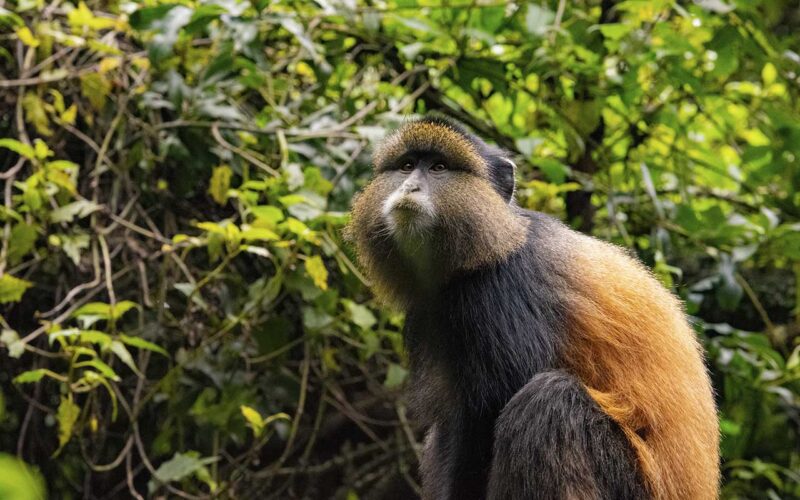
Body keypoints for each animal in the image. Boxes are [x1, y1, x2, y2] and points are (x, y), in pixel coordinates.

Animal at [346, 116, 719, 500]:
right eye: (407, 166)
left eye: (439, 168)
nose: (410, 187)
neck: (494, 241)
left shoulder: (499, 292)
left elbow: (485, 419)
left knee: (549, 403)